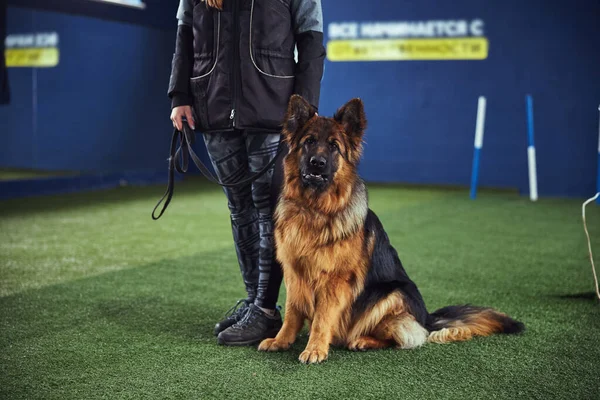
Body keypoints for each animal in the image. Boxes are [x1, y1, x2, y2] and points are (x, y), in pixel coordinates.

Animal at [258, 96, 524, 362]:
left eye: (334, 146)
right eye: (309, 142)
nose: (317, 163)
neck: (314, 209)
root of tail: (427, 318)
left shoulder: (334, 280)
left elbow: (322, 318)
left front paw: (315, 349)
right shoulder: (294, 272)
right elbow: (293, 311)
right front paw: (281, 340)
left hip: (392, 294)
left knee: (405, 337)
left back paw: (363, 341)